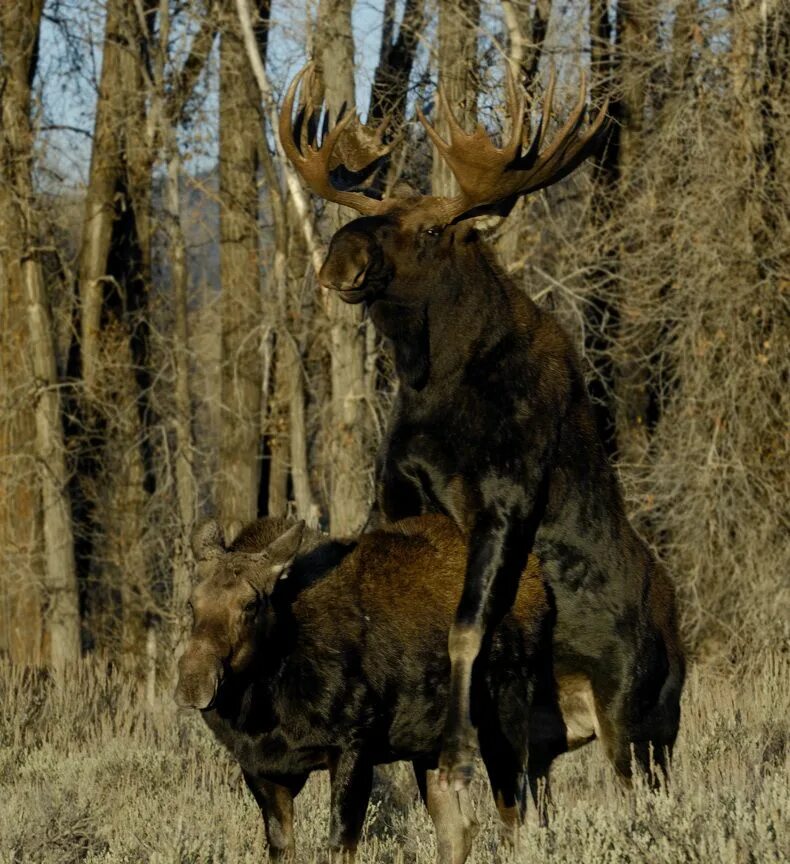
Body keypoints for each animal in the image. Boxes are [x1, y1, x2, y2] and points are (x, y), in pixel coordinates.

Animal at [176, 516, 552, 860]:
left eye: (250, 604)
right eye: (191, 602)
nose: (194, 681)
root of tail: (541, 583)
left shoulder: (352, 746)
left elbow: (340, 843)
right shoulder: (260, 767)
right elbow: (282, 846)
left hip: (505, 723)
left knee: (519, 824)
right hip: (430, 747)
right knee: (459, 827)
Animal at [280, 62, 688, 788]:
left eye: (432, 231)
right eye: (373, 215)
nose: (340, 259)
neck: (433, 385)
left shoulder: (507, 498)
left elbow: (465, 629)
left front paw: (454, 748)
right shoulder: (400, 496)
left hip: (643, 726)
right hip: (557, 738)